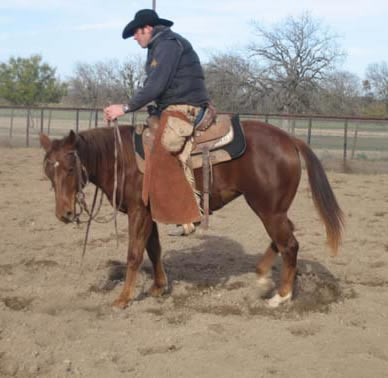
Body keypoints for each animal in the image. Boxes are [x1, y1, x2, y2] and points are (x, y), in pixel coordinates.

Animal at [38, 119, 342, 308]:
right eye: (48, 172)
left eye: (70, 168)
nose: (64, 213)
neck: (122, 158)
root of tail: (290, 139)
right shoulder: (149, 215)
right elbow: (154, 249)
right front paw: (159, 287)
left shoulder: (138, 212)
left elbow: (134, 254)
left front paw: (122, 299)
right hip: (274, 209)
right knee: (284, 238)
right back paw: (262, 276)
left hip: (268, 209)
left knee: (289, 243)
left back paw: (281, 296)